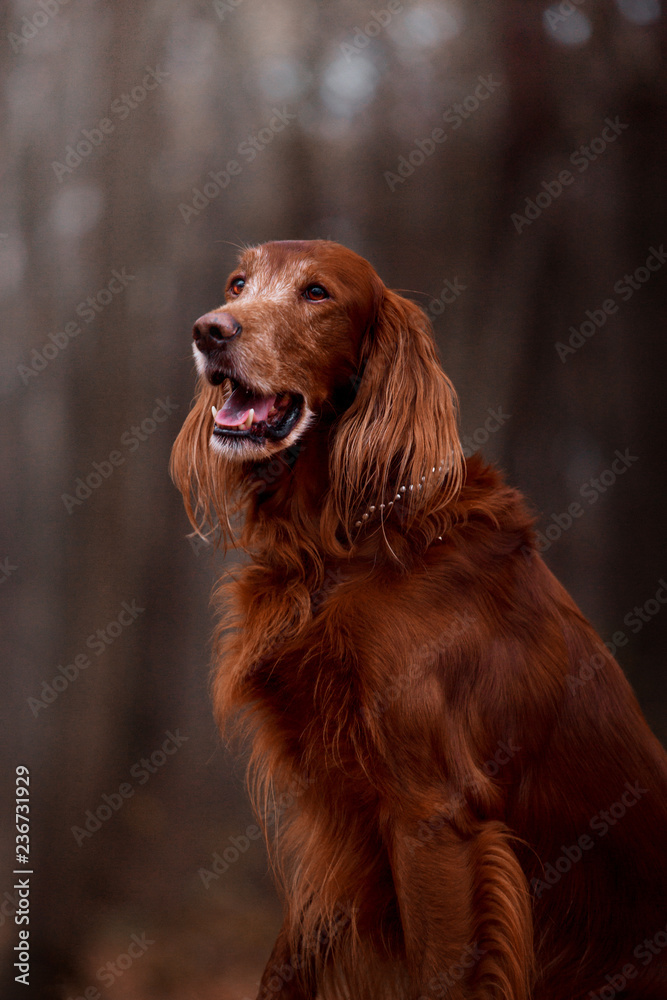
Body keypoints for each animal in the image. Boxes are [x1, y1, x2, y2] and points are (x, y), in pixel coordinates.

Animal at [171, 242, 667, 1000]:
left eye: (317, 293)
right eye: (237, 283)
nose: (209, 331)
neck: (340, 542)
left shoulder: (432, 818)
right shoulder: (335, 830)